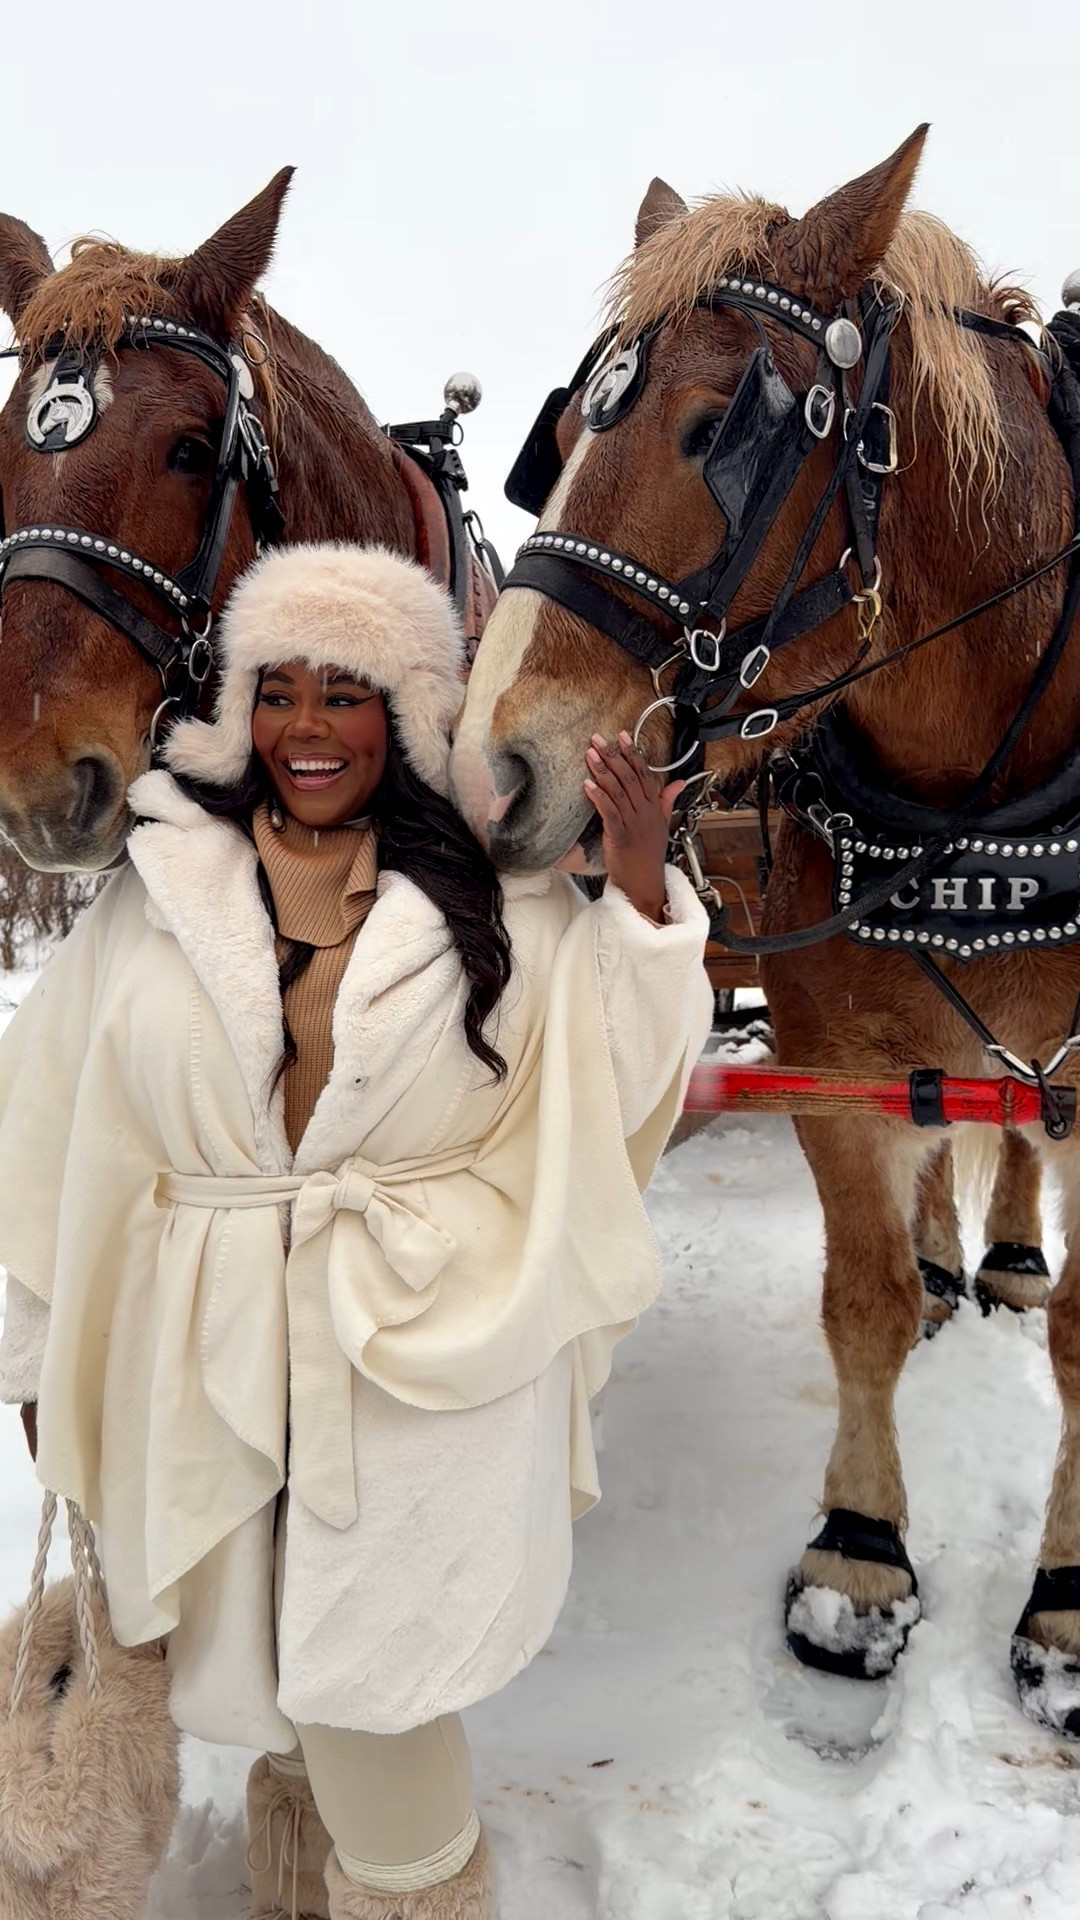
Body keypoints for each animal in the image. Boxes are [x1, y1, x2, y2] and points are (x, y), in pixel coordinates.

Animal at [450, 127, 1080, 1730]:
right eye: (567, 425)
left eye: (712, 429)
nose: (490, 771)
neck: (971, 793)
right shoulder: (837, 1051)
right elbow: (860, 1298)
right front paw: (859, 1558)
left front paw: (1062, 1609)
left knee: (1008, 1149)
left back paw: (1005, 1251)